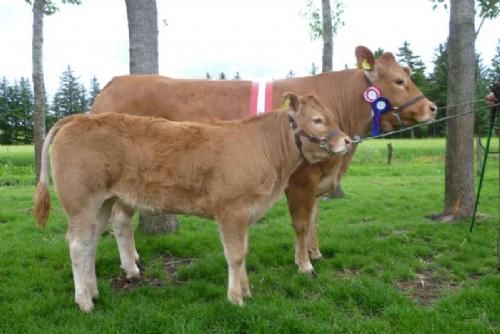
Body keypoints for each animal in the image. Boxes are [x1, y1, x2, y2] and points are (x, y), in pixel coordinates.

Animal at [33, 92, 352, 312]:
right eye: (317, 120)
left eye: (332, 117)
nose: (347, 141)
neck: (264, 150)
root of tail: (79, 118)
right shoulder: (231, 210)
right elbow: (235, 255)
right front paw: (236, 298)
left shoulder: (246, 212)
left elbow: (243, 252)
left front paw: (246, 290)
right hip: (81, 203)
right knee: (77, 245)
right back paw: (84, 301)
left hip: (103, 202)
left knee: (90, 244)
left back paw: (94, 292)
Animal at [93, 45, 438, 276]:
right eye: (398, 80)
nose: (432, 108)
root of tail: (114, 83)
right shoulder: (301, 179)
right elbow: (301, 222)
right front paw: (304, 264)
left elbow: (315, 218)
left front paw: (316, 252)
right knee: (119, 220)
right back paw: (130, 268)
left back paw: (133, 261)